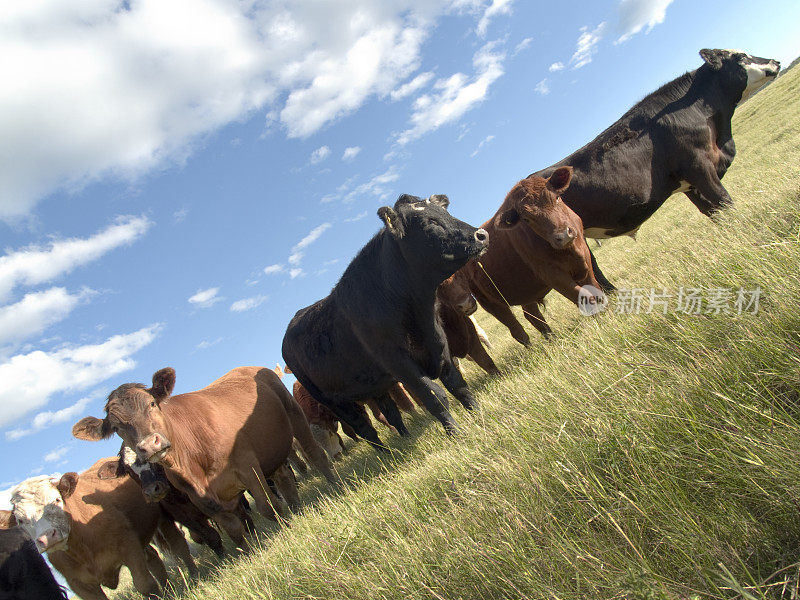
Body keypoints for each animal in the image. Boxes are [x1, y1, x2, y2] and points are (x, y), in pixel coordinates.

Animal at [0, 460, 192, 600]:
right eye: (21, 520)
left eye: (56, 500)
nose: (48, 537)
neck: (83, 548)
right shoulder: (78, 583)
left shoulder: (129, 547)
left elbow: (145, 585)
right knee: (153, 557)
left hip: (163, 517)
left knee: (178, 546)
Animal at [72, 366, 338, 548]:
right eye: (116, 427)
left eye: (152, 404)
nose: (148, 444)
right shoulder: (200, 498)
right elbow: (233, 529)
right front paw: (248, 552)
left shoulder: (248, 467)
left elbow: (267, 507)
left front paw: (285, 528)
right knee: (284, 478)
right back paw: (296, 507)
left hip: (295, 416)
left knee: (316, 455)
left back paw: (334, 486)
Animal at [282, 193, 488, 450]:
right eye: (428, 222)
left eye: (446, 212)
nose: (481, 235)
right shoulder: (400, 363)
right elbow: (435, 398)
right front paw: (456, 434)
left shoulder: (440, 344)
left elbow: (458, 385)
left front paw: (479, 414)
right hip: (334, 401)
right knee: (365, 429)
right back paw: (388, 454)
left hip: (375, 384)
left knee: (391, 413)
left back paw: (404, 441)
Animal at [466, 169, 604, 346]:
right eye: (526, 219)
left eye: (557, 197)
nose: (563, 235)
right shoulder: (551, 274)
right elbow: (585, 297)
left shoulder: (584, 255)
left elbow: (596, 290)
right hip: (490, 303)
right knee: (517, 330)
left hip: (525, 291)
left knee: (532, 315)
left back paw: (551, 340)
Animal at [532, 47, 780, 290]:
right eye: (740, 56)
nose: (776, 61)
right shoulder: (700, 167)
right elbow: (724, 200)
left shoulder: (690, 183)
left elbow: (713, 211)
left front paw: (726, 232)